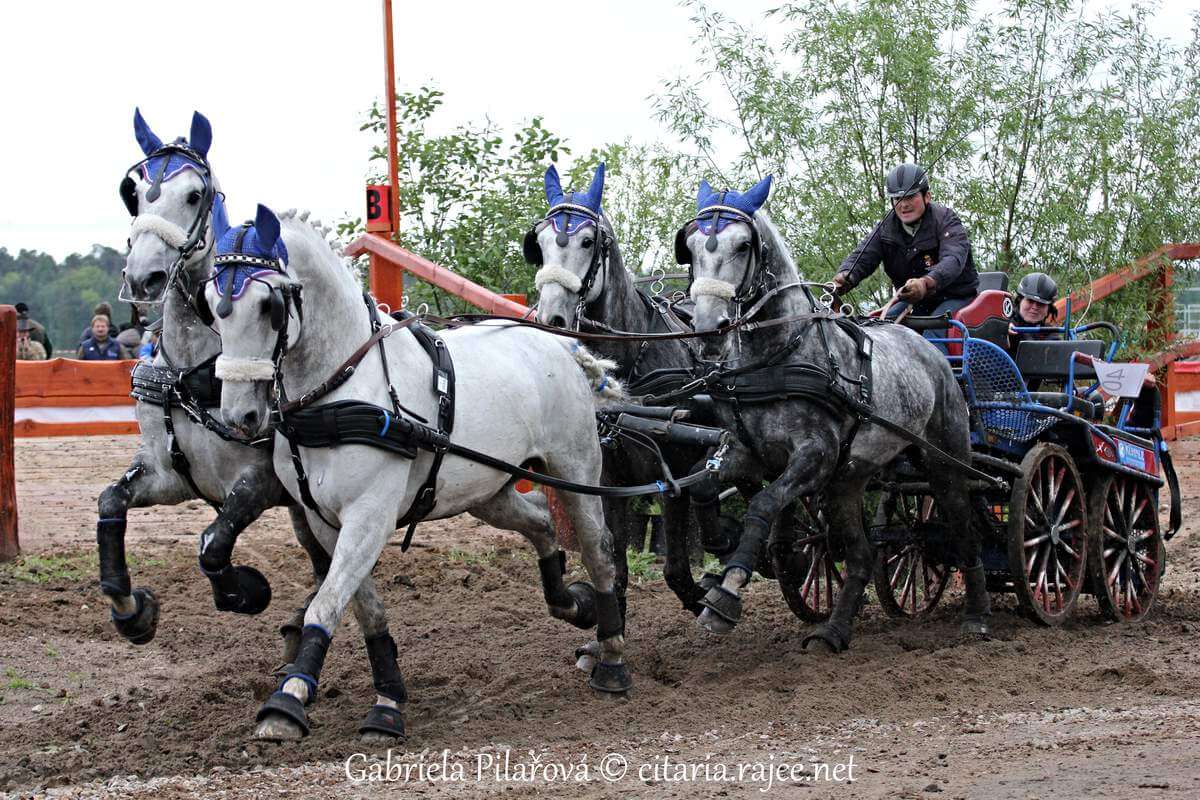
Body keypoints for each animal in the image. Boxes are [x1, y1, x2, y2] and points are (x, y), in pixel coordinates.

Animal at [203, 203, 633, 741]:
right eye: (211, 304)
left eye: (268, 306)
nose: (239, 416)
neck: (341, 394)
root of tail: (561, 346)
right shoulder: (325, 522)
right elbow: (365, 610)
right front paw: (388, 700)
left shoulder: (369, 517)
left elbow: (326, 603)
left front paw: (288, 699)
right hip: (487, 491)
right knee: (540, 522)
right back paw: (570, 603)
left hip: (575, 471)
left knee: (599, 551)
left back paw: (611, 655)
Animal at [528, 163, 718, 622]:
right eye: (539, 244)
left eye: (587, 241)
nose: (551, 317)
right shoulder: (608, 478)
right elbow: (616, 566)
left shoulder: (671, 472)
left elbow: (675, 569)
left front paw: (703, 597)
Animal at [674, 176, 991, 650]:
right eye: (691, 245)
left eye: (743, 245)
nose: (709, 329)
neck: (780, 355)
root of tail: (928, 347)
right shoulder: (746, 453)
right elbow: (701, 490)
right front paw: (720, 546)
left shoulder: (814, 456)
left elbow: (763, 504)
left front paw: (726, 594)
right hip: (849, 480)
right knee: (861, 555)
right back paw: (834, 631)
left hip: (944, 462)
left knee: (962, 527)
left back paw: (977, 616)